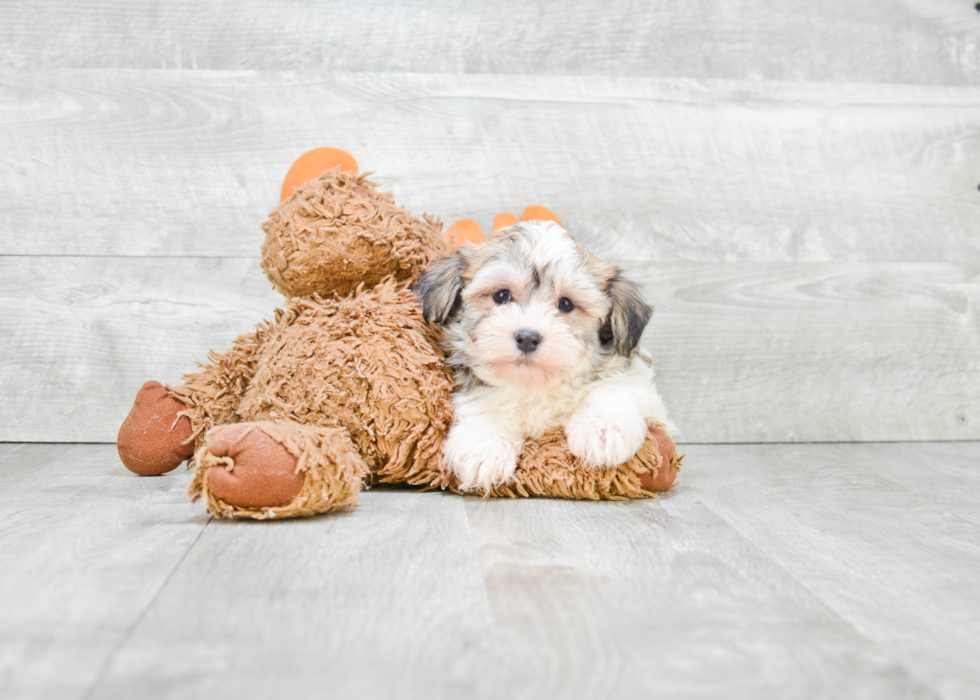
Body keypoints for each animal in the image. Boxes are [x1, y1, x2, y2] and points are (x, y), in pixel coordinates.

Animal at [414, 219, 672, 492]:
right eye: (502, 296)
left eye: (566, 304)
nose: (527, 338)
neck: (536, 386)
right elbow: (483, 406)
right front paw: (484, 446)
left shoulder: (633, 374)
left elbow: (615, 386)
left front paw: (602, 428)